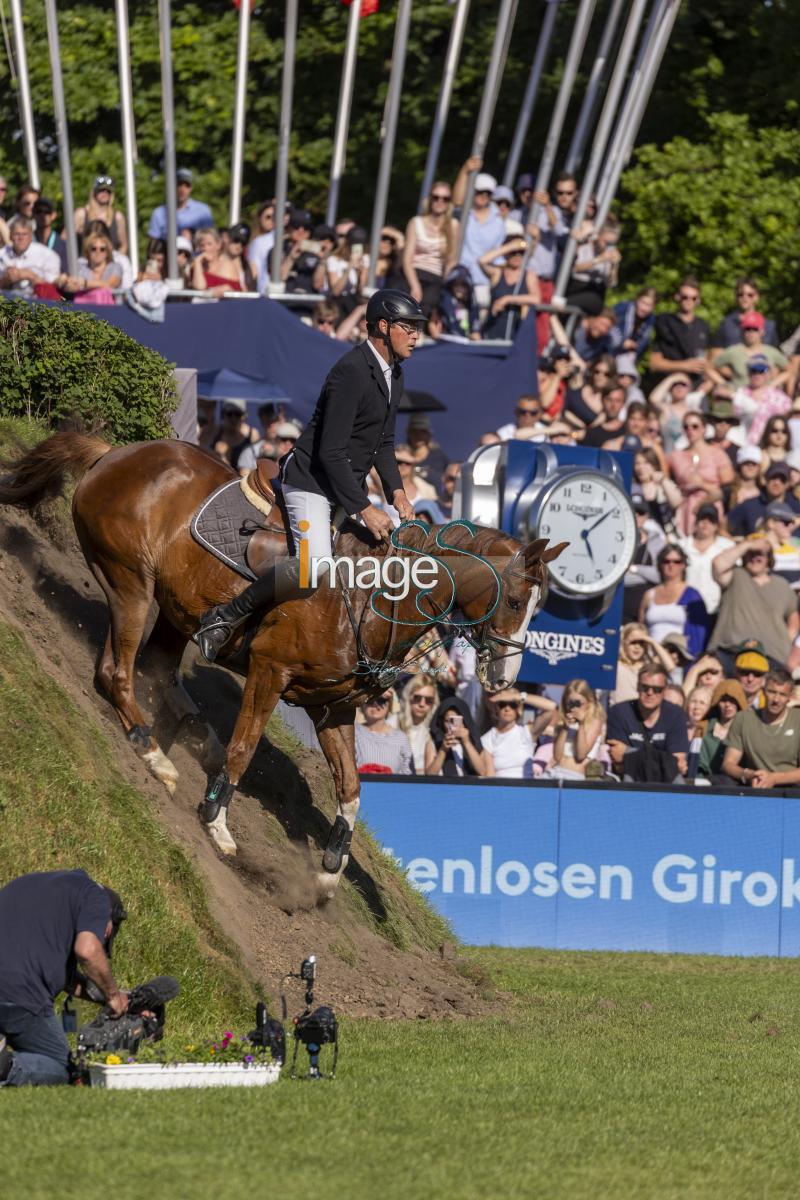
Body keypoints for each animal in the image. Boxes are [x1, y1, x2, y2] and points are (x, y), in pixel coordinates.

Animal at [0, 436, 566, 897]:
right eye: (517, 601)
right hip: (130, 585)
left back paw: (195, 738)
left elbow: (351, 788)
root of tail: (115, 454)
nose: (504, 680)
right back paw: (155, 754)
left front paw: (330, 869)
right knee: (115, 673)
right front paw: (216, 821)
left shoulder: (333, 709)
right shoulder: (269, 673)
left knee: (158, 669)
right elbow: (246, 748)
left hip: (176, 609)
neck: (374, 600)